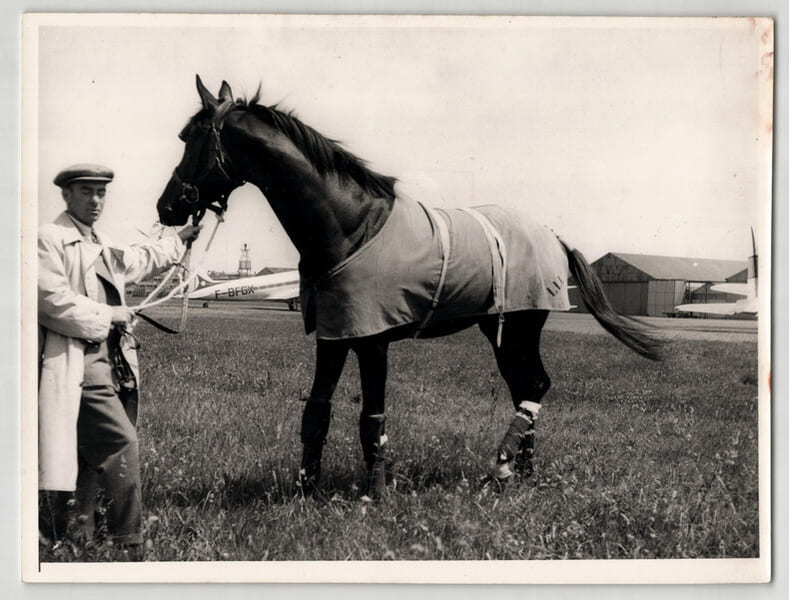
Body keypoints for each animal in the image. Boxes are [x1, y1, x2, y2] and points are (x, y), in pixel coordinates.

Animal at [157, 76, 662, 497]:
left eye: (188, 139)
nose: (167, 207)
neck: (350, 226)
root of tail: (552, 235)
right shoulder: (334, 335)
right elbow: (317, 409)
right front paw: (303, 489)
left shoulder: (372, 340)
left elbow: (372, 415)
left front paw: (375, 495)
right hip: (501, 330)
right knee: (526, 385)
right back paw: (521, 472)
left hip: (520, 326)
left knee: (534, 384)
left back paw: (502, 466)